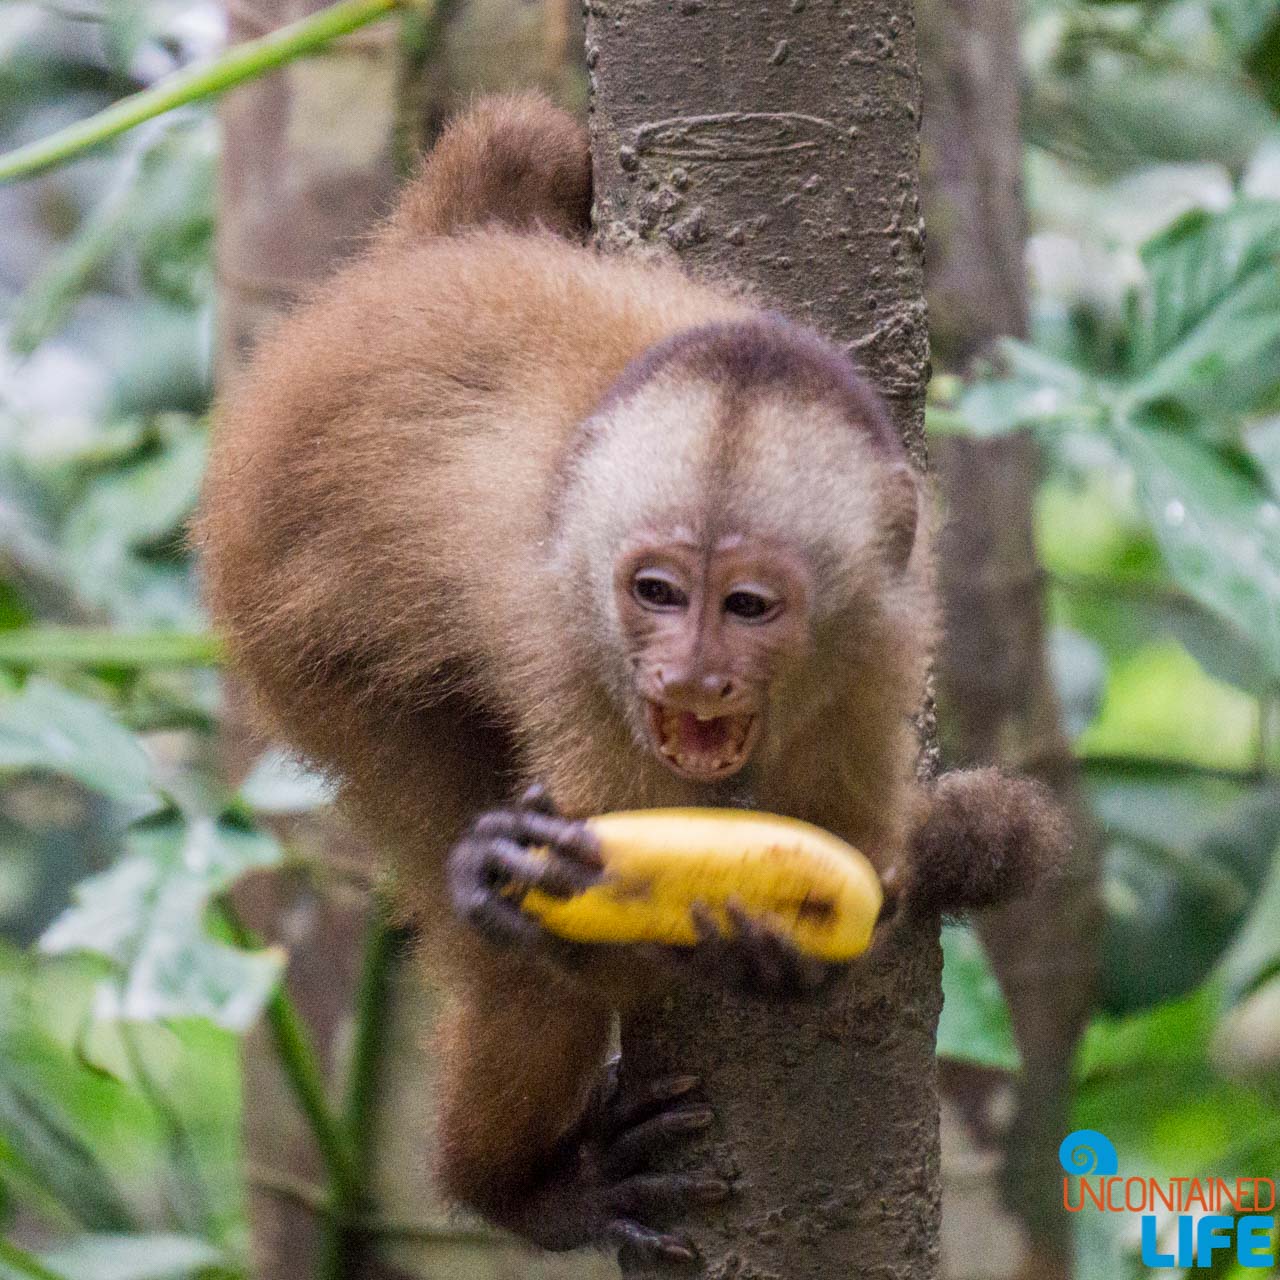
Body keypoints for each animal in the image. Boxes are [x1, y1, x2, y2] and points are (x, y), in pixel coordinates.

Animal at [192, 94, 1070, 1264]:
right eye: (655, 590)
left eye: (748, 606)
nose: (693, 676)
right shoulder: (573, 654)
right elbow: (596, 951)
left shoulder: (882, 640)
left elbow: (862, 854)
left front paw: (804, 947)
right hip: (296, 651)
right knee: (516, 969)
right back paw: (521, 1190)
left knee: (527, 140)